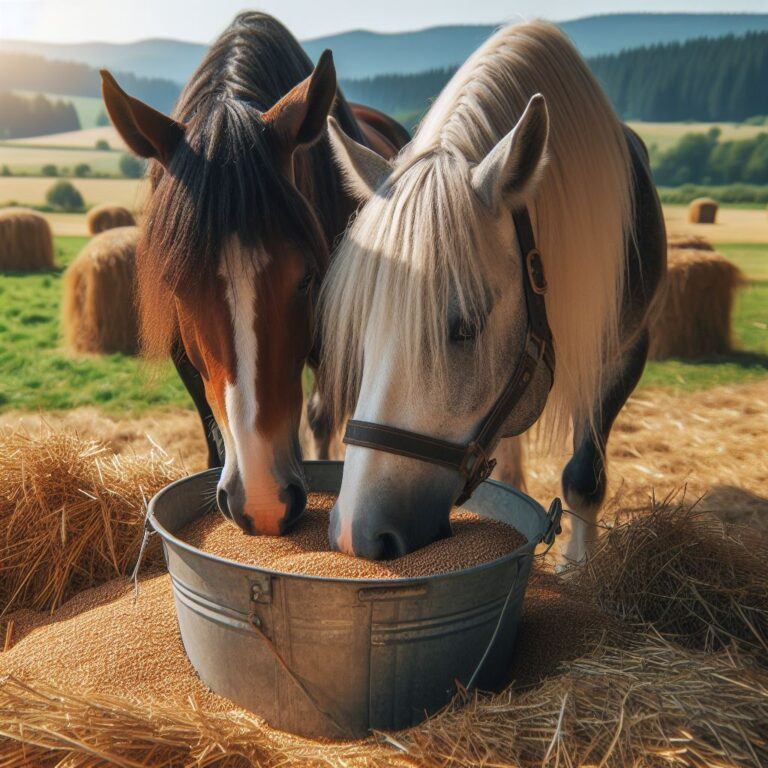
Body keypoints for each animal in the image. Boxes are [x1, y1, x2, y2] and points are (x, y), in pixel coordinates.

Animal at [318, 21, 664, 560]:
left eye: (465, 330)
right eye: (364, 330)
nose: (358, 534)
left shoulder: (626, 351)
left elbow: (584, 476)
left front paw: (576, 566)